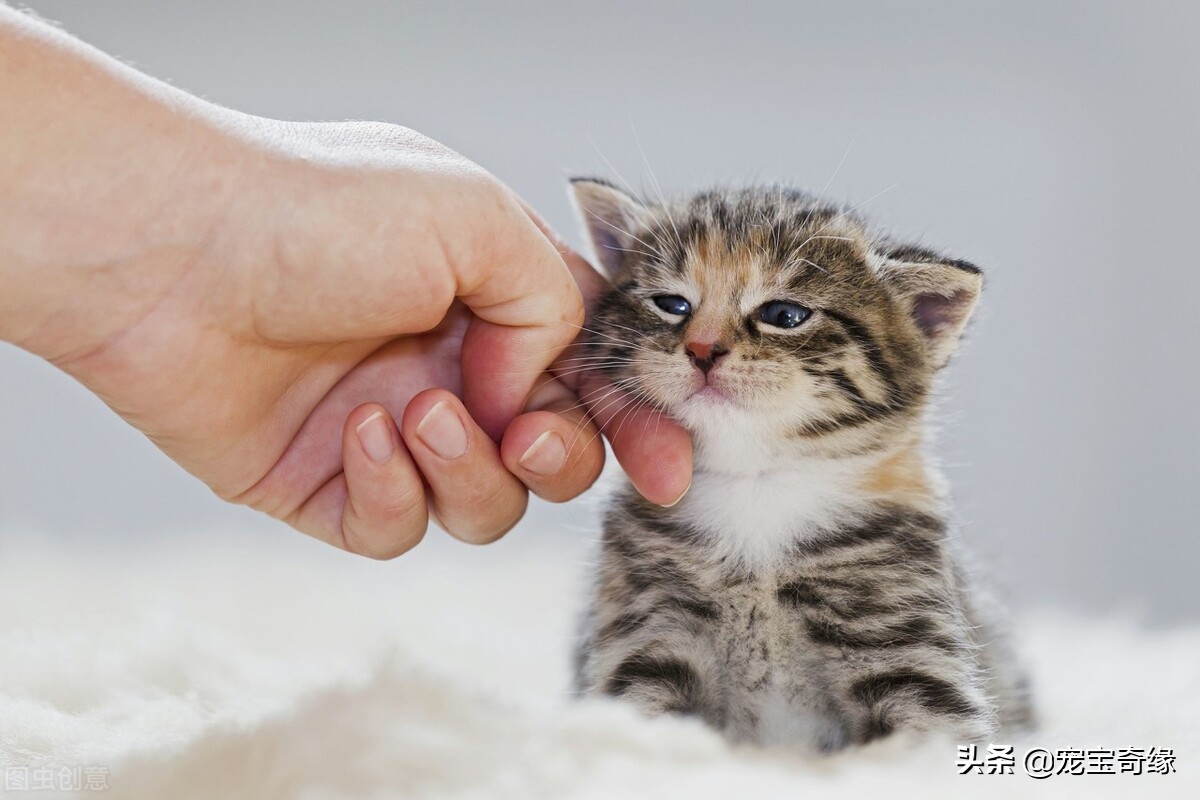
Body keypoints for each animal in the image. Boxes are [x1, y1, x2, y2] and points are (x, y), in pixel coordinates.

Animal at [568, 179, 1032, 753]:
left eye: (784, 316)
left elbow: (925, 737)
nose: (702, 348)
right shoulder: (648, 632)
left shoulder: (909, 649)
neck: (757, 488)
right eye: (671, 304)